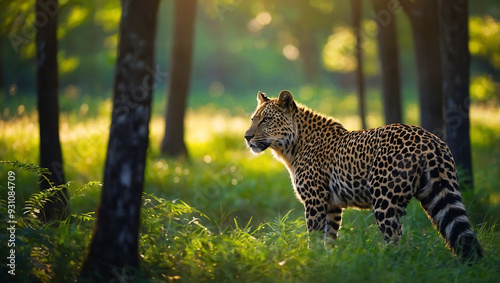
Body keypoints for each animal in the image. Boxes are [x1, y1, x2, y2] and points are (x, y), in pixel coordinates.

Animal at [244, 90, 482, 260]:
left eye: (265, 120)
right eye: (253, 119)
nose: (247, 136)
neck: (291, 147)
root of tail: (430, 138)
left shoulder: (315, 202)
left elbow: (314, 237)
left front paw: (311, 260)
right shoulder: (332, 206)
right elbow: (329, 239)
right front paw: (327, 262)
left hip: (384, 201)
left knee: (396, 239)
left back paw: (389, 265)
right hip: (436, 193)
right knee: (457, 230)